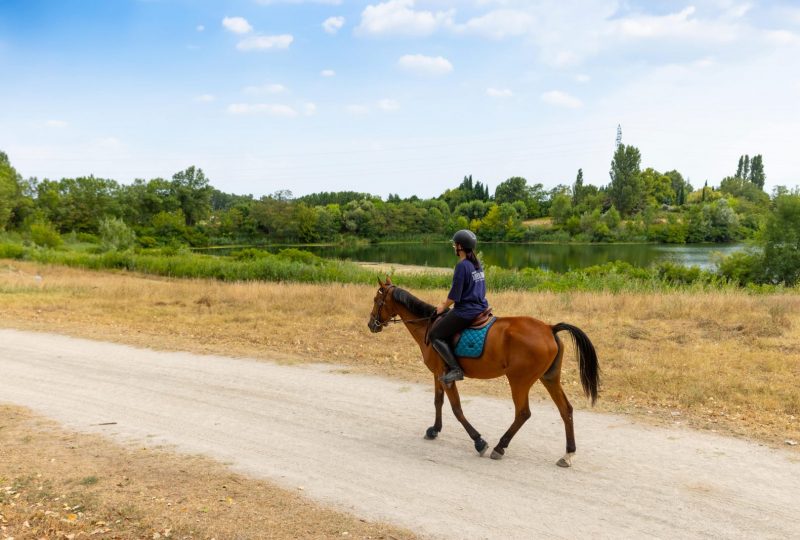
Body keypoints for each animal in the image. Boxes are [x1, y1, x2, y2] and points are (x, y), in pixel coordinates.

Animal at [368, 276, 600, 466]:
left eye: (376, 300)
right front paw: (434, 430)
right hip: (549, 378)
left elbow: (457, 409)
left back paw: (500, 447)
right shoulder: (438, 374)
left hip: (519, 380)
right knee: (565, 410)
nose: (372, 324)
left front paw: (478, 441)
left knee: (523, 413)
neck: (428, 325)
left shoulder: (447, 377)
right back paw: (568, 454)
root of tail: (550, 328)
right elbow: (438, 402)